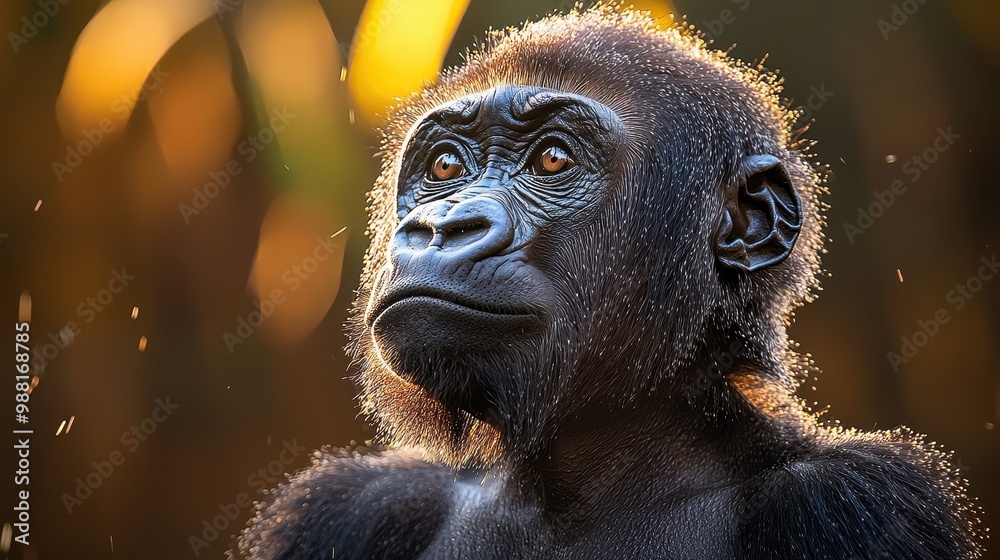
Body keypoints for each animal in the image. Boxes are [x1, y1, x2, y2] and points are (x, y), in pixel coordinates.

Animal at [234, 5, 984, 560]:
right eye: (446, 166)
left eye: (553, 160)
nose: (442, 225)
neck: (569, 483)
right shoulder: (356, 504)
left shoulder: (854, 500)